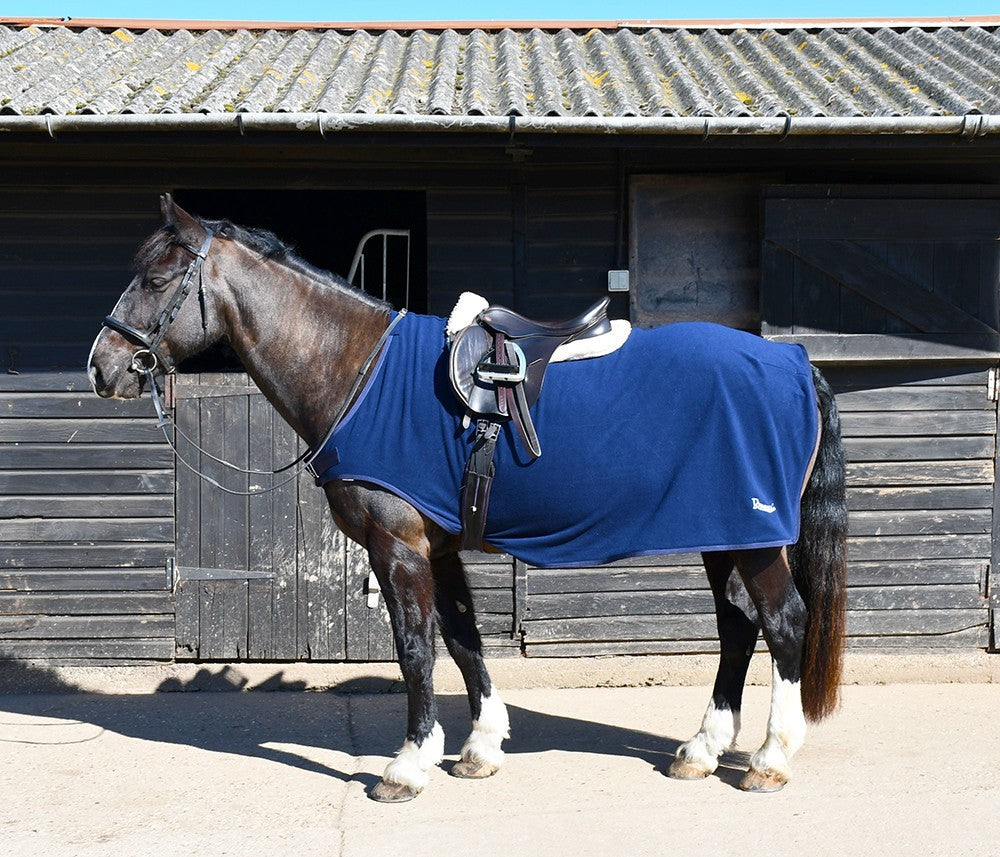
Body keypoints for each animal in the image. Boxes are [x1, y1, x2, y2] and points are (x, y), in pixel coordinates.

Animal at [88, 195, 848, 803]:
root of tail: (794, 363)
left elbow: (414, 648)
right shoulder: (438, 547)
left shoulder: (397, 547)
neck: (358, 369)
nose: (103, 366)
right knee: (738, 625)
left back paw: (770, 759)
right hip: (723, 535)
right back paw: (701, 749)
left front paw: (407, 765)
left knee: (783, 621)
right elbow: (462, 637)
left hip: (752, 538)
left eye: (158, 278)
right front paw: (480, 748)